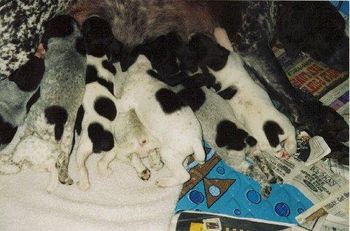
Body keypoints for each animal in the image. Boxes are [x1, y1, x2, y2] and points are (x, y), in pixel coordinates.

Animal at [0, 14, 87, 191]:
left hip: (31, 127)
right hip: (68, 139)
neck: (69, 40)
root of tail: (58, 122)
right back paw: (64, 176)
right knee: (63, 160)